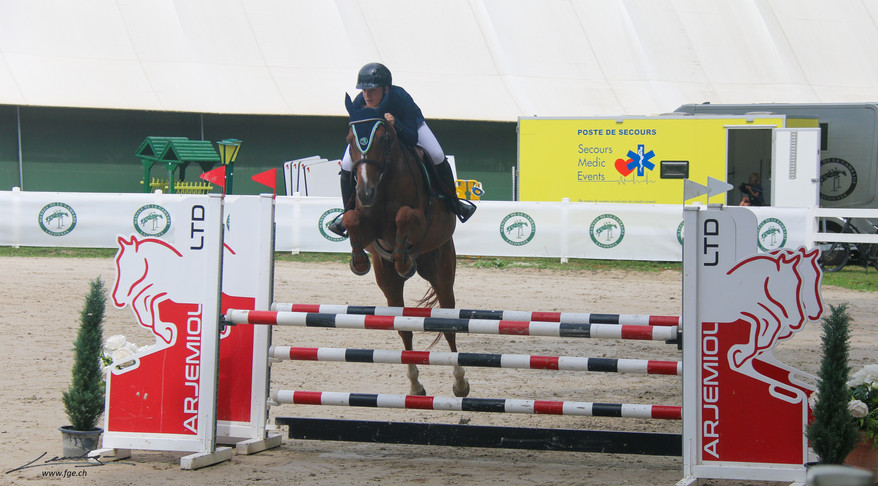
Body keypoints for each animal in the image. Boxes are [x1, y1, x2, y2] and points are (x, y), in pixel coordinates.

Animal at [340, 93, 469, 398]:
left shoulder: (420, 220)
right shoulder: (367, 226)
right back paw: (415, 385)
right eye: (350, 138)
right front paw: (358, 261)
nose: (365, 191)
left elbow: (403, 216)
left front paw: (402, 258)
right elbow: (352, 218)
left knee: (449, 325)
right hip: (387, 283)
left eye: (383, 138)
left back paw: (460, 383)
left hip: (441, 269)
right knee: (403, 328)